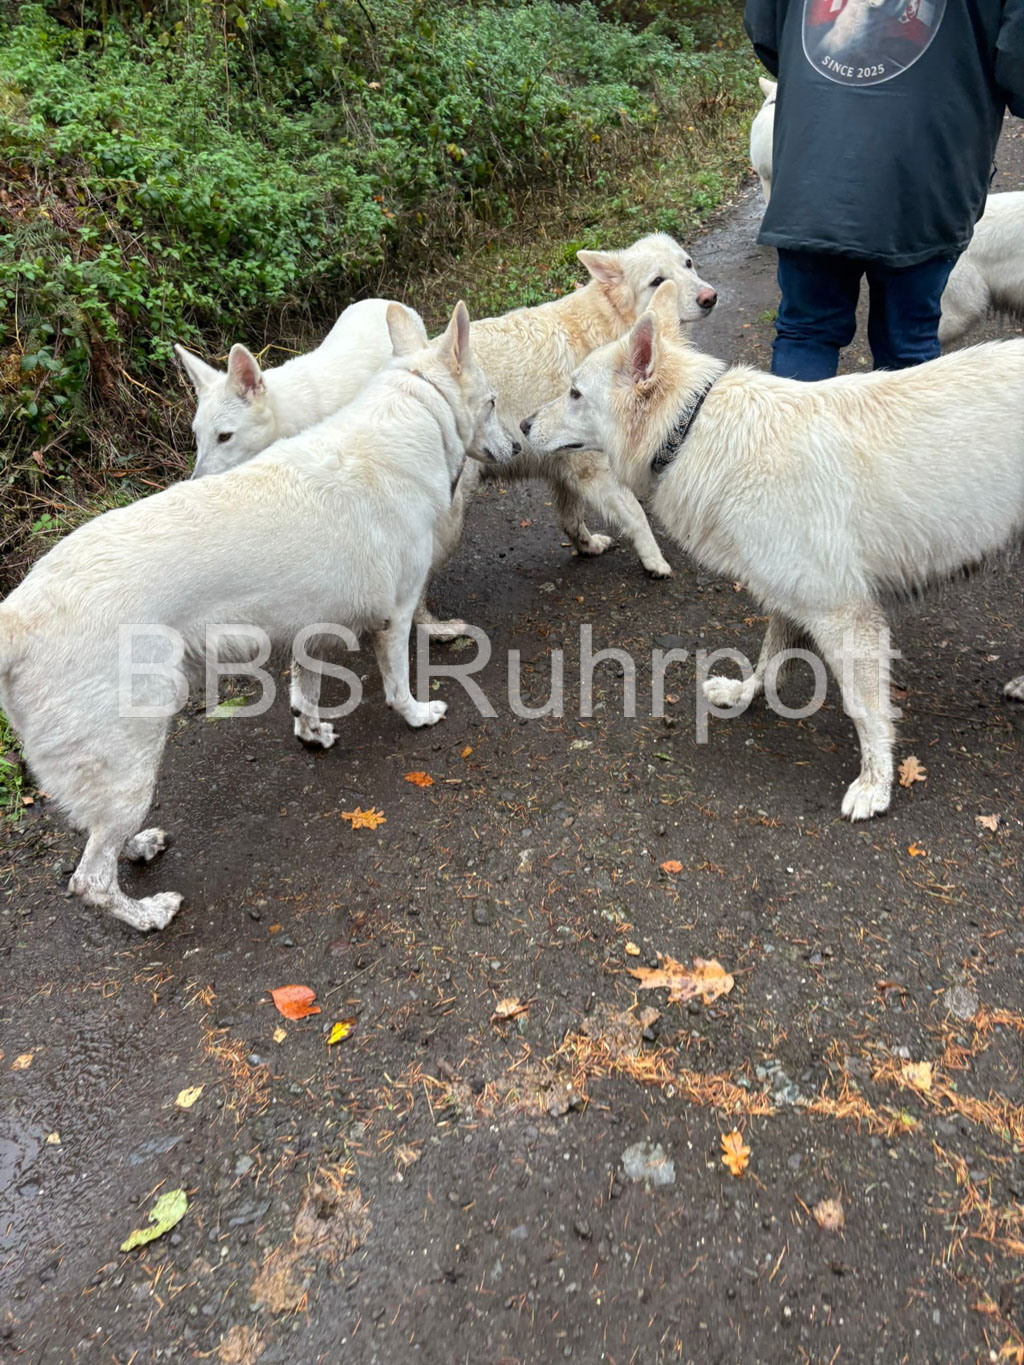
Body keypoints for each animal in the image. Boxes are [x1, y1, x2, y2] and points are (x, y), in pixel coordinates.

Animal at [523, 279, 1024, 820]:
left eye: (575, 393)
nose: (524, 425)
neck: (691, 430)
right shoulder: (791, 595)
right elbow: (768, 658)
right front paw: (744, 693)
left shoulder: (845, 616)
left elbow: (867, 711)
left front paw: (876, 784)